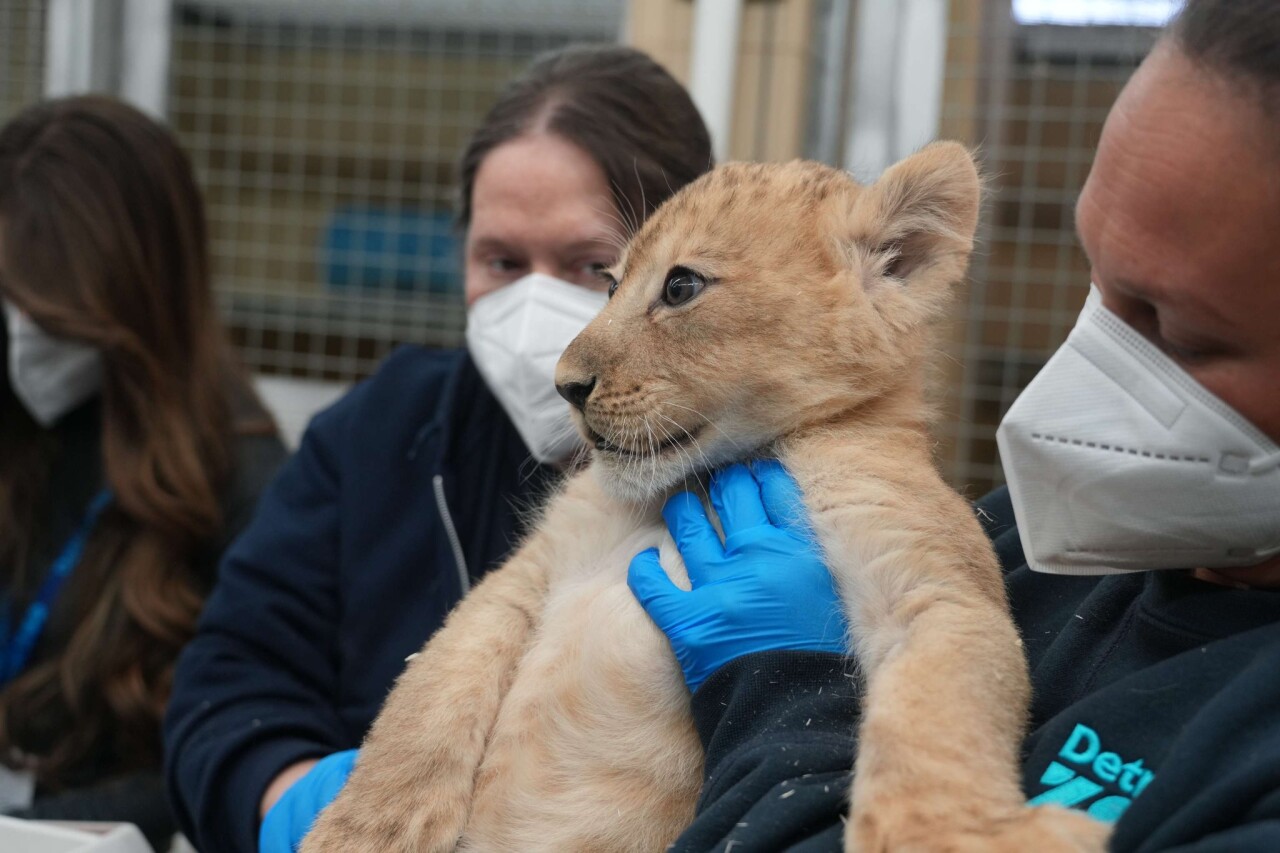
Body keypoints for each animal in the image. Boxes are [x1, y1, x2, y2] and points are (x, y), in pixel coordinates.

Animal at [301, 143, 1110, 852]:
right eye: (609, 283)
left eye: (681, 287)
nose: (565, 385)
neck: (701, 480)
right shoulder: (524, 575)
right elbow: (427, 695)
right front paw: (363, 830)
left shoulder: (925, 582)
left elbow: (937, 714)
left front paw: (956, 835)